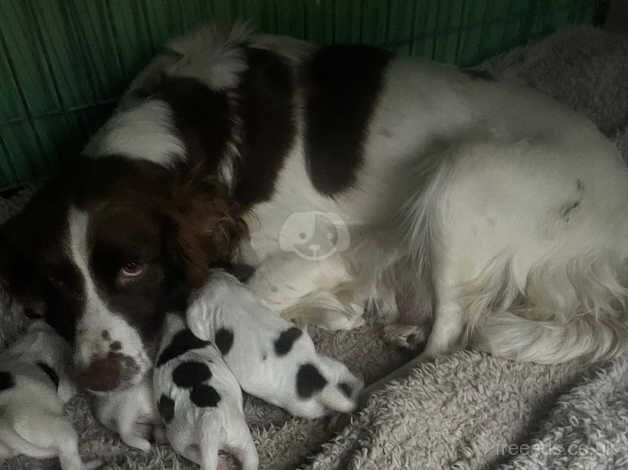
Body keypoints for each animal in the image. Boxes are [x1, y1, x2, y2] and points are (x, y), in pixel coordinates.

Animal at [1, 23, 628, 396]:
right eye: (58, 282)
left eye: (133, 267)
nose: (97, 379)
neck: (193, 124)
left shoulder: (329, 247)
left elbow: (227, 290)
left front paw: (326, 310)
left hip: (462, 176)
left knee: (451, 335)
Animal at [186, 270, 364, 420]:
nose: (211, 272)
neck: (225, 296)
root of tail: (321, 385)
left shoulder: (200, 321)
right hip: (334, 368)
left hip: (303, 408)